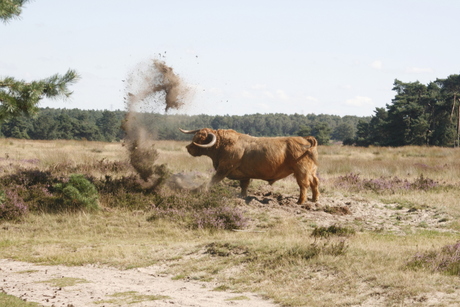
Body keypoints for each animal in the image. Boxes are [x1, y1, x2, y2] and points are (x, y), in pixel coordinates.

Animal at [180, 127, 320, 205]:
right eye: (195, 136)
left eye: (201, 139)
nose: (188, 147)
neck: (222, 146)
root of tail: (305, 139)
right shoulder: (244, 174)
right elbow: (244, 186)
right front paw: (242, 197)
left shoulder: (223, 169)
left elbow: (212, 181)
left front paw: (200, 191)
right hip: (311, 171)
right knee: (315, 182)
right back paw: (314, 199)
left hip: (301, 170)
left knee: (304, 185)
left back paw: (300, 202)